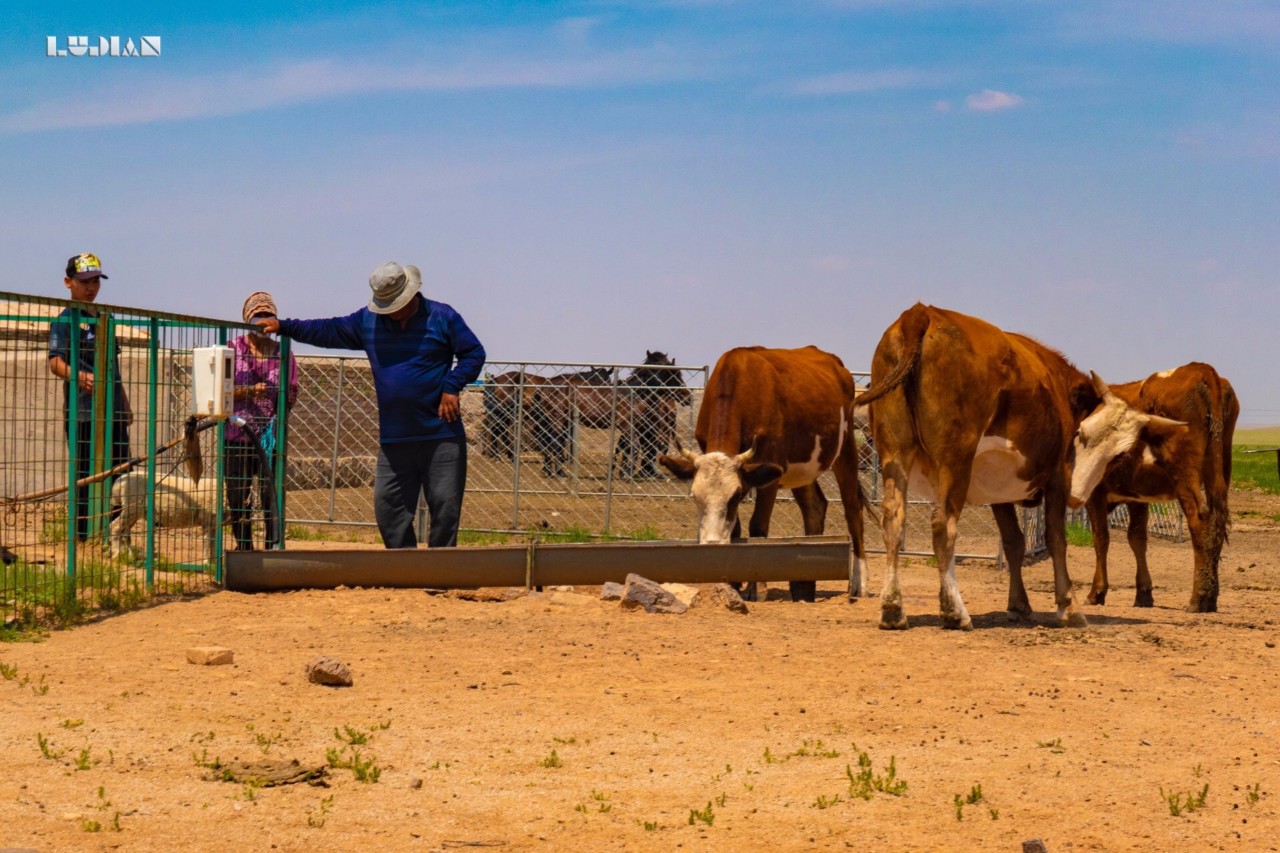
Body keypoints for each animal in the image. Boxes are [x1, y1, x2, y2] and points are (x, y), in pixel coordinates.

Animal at [660, 343, 870, 596]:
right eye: (694, 496)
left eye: (736, 496)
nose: (712, 544)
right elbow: (737, 529)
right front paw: (732, 584)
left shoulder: (769, 473)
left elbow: (758, 525)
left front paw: (756, 587)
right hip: (802, 470)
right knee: (815, 507)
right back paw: (805, 584)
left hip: (846, 450)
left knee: (853, 510)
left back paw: (859, 582)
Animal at [855, 302, 1167, 627]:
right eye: (1082, 433)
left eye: (1118, 455)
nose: (1078, 495)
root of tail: (921, 313)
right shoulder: (1057, 479)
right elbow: (1056, 539)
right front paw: (1068, 605)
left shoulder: (999, 491)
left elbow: (1014, 542)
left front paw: (1018, 604)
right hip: (954, 460)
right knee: (942, 525)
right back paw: (954, 611)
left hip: (895, 454)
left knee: (893, 520)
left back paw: (893, 608)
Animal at [1070, 361, 1239, 607]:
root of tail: (1201, 369)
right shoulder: (1136, 497)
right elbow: (1137, 539)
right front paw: (1143, 593)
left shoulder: (1095, 494)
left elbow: (1101, 538)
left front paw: (1097, 592)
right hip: (1220, 470)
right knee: (1217, 521)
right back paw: (1210, 597)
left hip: (1185, 474)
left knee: (1199, 520)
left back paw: (1199, 598)